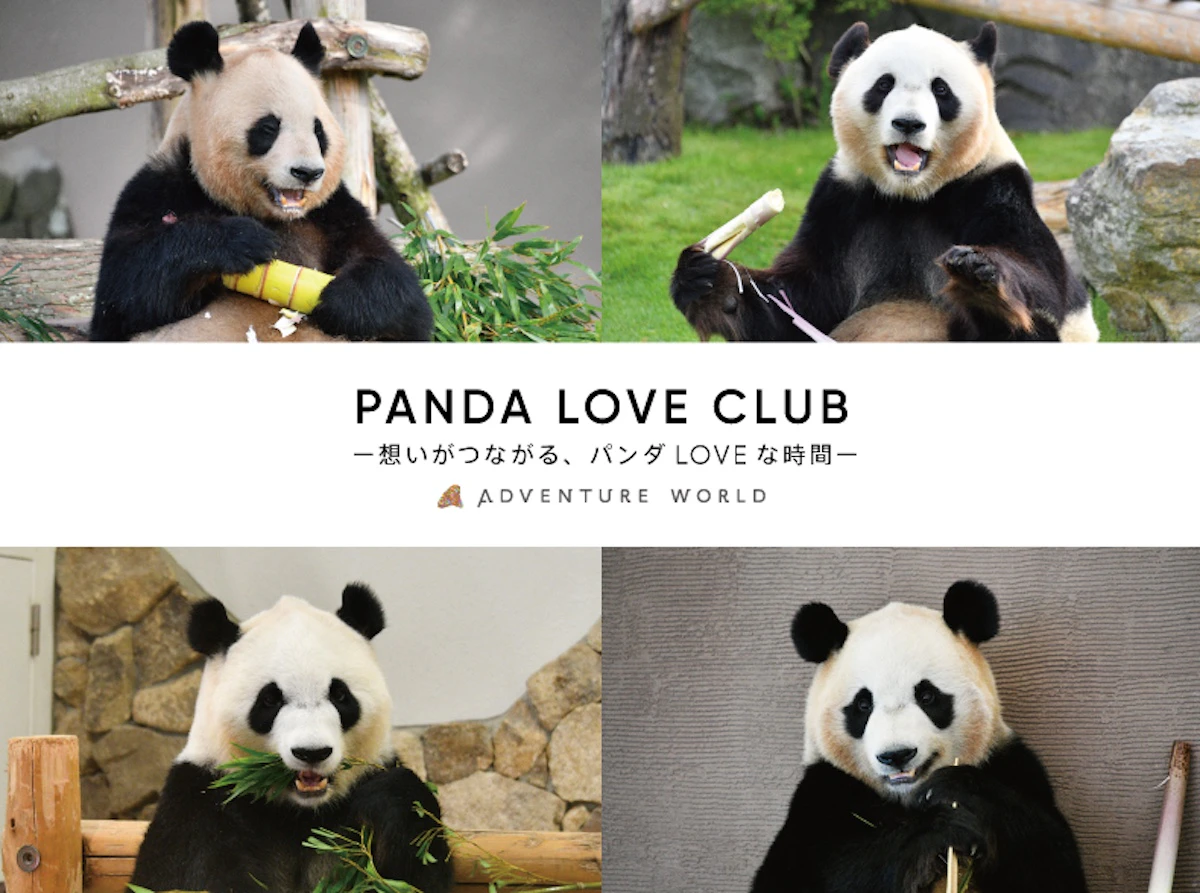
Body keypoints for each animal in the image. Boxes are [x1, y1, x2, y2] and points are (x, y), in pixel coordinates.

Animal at [90, 21, 432, 342]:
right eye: (269, 128)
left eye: (318, 130)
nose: (307, 172)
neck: (273, 217)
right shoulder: (159, 187)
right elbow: (125, 288)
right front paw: (244, 241)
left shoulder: (335, 211)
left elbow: (403, 294)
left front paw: (338, 299)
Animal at [131, 584, 452, 893]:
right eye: (270, 699)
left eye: (340, 695)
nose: (312, 752)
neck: (300, 812)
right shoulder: (202, 798)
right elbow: (183, 876)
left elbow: (417, 871)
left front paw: (389, 798)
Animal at [671, 22, 1099, 343]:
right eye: (883, 85)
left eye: (940, 89)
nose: (909, 123)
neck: (911, 194)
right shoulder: (843, 201)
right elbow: (801, 299)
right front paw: (711, 284)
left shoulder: (992, 187)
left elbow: (1045, 282)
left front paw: (980, 279)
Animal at [752, 581, 1088, 892]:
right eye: (863, 705)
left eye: (927, 696)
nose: (897, 755)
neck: (906, 797)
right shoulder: (823, 796)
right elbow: (810, 874)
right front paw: (939, 831)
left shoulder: (1010, 764)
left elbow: (1054, 862)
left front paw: (958, 790)